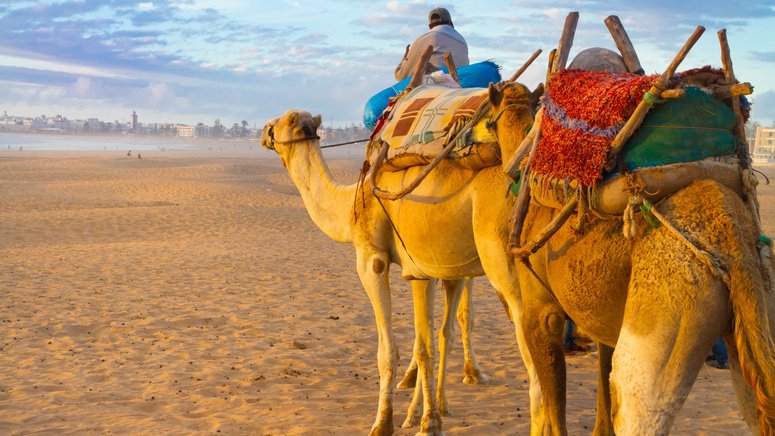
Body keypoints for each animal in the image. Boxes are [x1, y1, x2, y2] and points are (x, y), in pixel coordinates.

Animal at [260, 81, 543, 435]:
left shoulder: (371, 260)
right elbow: (430, 339)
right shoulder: (427, 267)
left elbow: (390, 350)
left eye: (284, 121)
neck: (352, 204)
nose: (263, 131)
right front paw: (425, 415)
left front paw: (387, 422)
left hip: (503, 256)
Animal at [490, 105, 775, 433]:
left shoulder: (541, 309)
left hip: (666, 311)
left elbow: (554, 400)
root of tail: (732, 236)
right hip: (759, 308)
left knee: (637, 406)